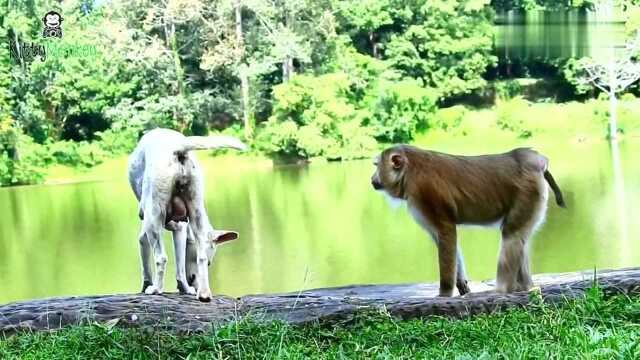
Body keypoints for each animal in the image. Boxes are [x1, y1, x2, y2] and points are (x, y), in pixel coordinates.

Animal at [127, 129, 245, 300]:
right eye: (209, 264)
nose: (194, 283)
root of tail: (179, 149)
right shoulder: (181, 229)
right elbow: (180, 267)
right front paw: (185, 288)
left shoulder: (147, 230)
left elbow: (145, 264)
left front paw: (146, 286)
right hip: (196, 208)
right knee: (199, 256)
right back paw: (204, 294)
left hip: (153, 217)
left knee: (161, 258)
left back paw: (156, 289)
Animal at [370, 145, 564, 296]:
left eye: (377, 166)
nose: (372, 179)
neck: (409, 171)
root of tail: (536, 160)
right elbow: (442, 239)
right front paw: (461, 282)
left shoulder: (426, 194)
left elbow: (446, 232)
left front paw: (444, 294)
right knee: (518, 237)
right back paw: (525, 288)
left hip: (528, 193)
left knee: (512, 236)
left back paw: (501, 290)